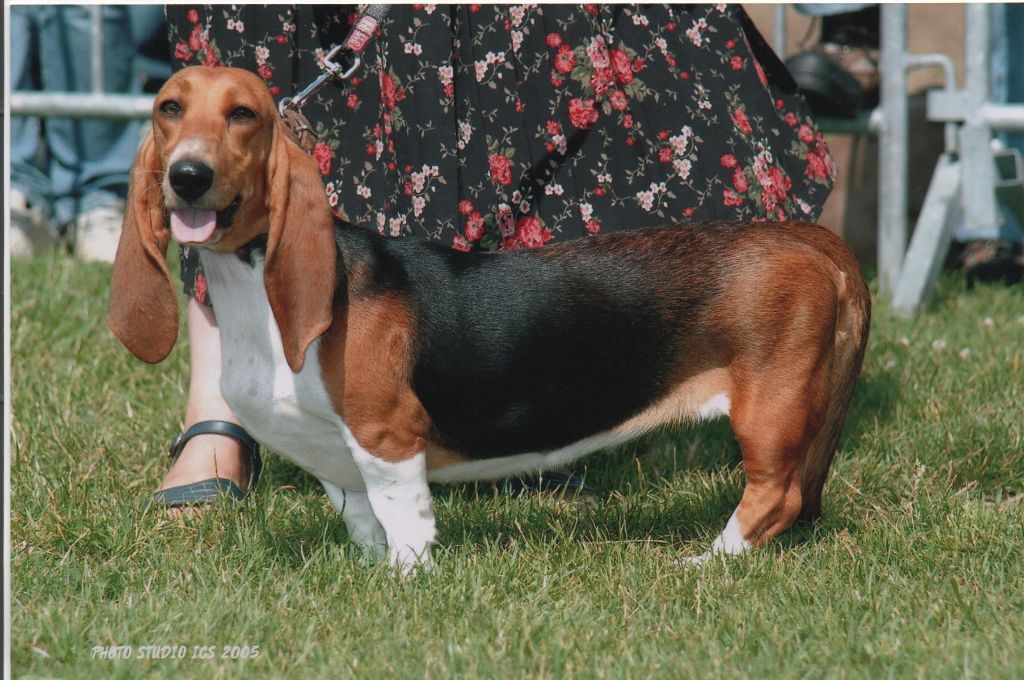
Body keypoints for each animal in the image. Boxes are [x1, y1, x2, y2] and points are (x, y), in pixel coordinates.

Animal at [110, 66, 872, 569]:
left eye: (243, 114)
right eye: (169, 108)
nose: (187, 176)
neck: (252, 290)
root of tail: (812, 239)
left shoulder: (389, 437)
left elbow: (402, 519)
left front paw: (407, 582)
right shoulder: (335, 459)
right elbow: (362, 520)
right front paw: (371, 573)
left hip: (768, 410)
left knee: (775, 497)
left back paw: (706, 563)